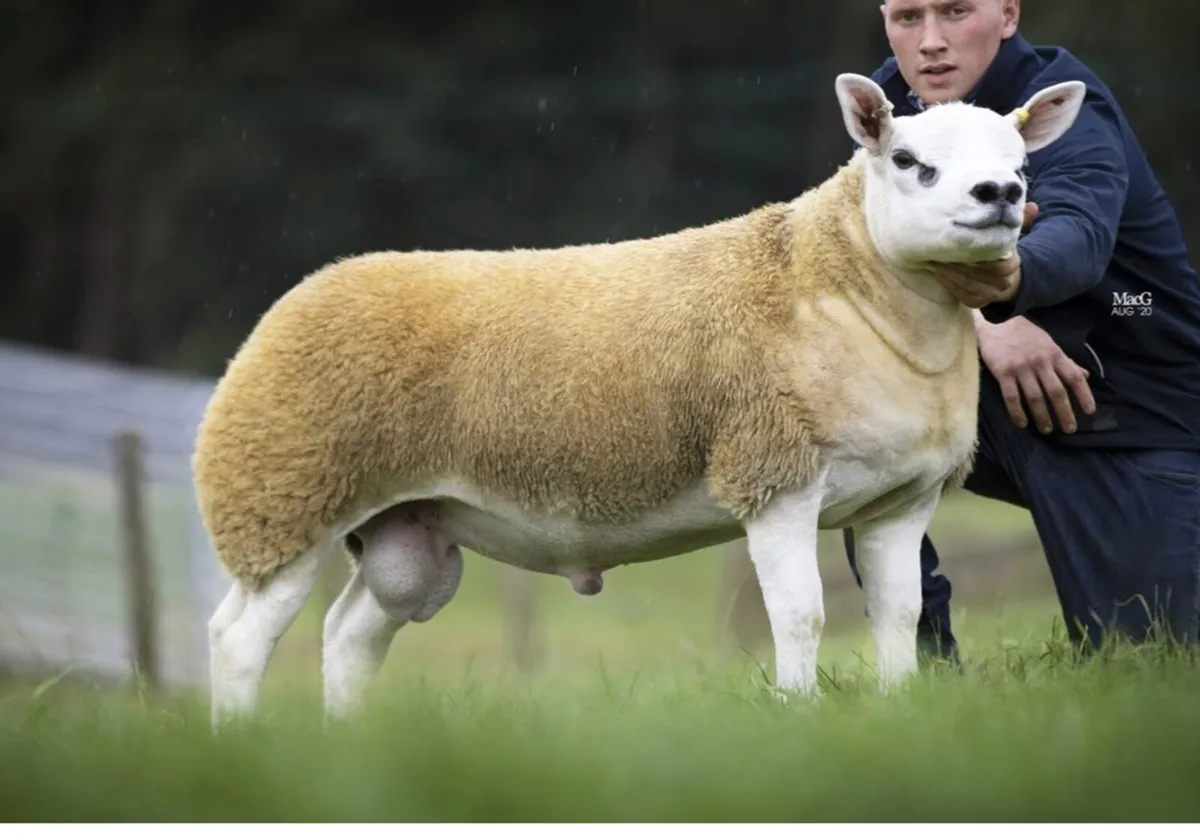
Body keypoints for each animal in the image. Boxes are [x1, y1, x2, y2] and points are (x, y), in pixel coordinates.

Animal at [194, 72, 1087, 729]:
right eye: (907, 159)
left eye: (1022, 160)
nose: (998, 193)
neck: (846, 287)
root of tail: (304, 291)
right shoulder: (773, 475)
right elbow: (800, 615)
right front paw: (796, 714)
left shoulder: (902, 501)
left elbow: (900, 615)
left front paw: (897, 710)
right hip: (281, 494)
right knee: (238, 638)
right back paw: (239, 743)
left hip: (404, 529)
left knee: (349, 634)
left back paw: (344, 742)